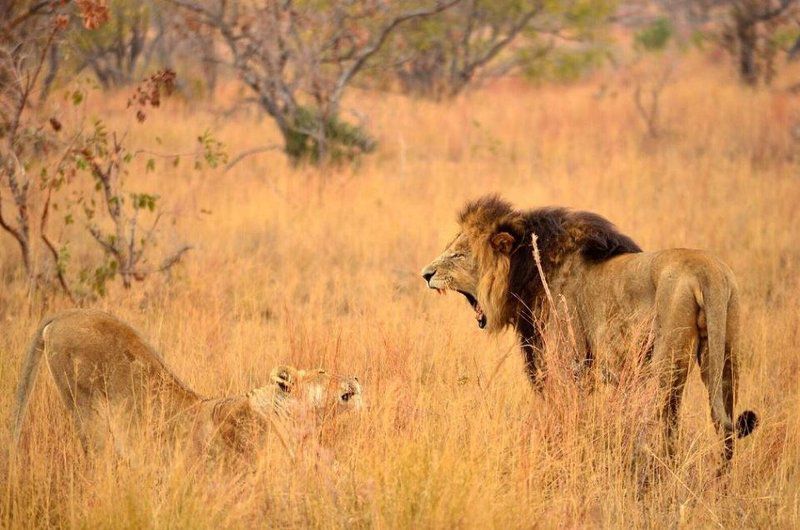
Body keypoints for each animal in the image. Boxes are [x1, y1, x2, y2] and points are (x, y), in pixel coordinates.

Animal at [422, 196, 760, 464]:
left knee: (667, 426)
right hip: (726, 357)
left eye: (459, 254)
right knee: (724, 426)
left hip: (666, 365)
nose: (426, 274)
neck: (527, 270)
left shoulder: (566, 362)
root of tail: (707, 272)